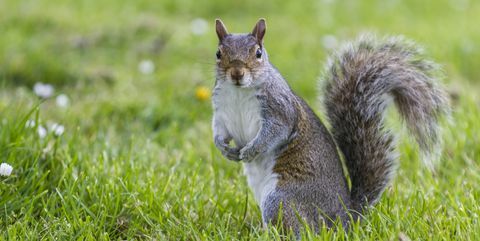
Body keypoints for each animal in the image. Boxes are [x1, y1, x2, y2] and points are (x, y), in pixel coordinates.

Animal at [212, 19, 448, 235]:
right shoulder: (221, 112)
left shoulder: (280, 109)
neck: (239, 92)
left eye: (258, 53)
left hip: (281, 198)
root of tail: (345, 218)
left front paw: (251, 150)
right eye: (218, 53)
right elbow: (219, 131)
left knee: (300, 230)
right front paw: (225, 149)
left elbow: (274, 132)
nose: (237, 74)